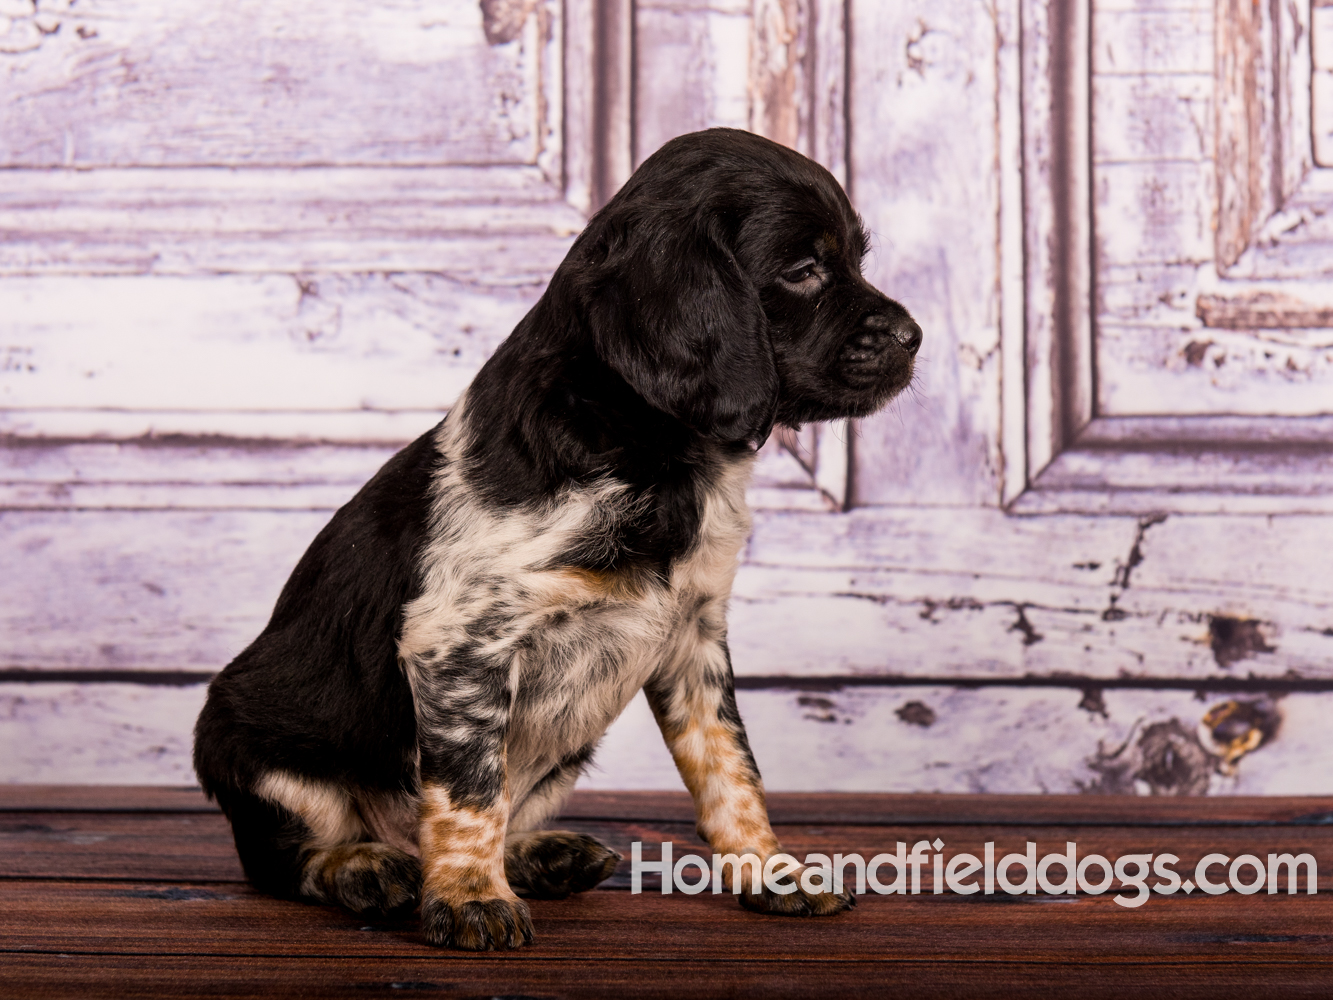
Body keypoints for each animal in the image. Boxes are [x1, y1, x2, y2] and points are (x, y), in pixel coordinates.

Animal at [193, 129, 922, 949]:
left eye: (853, 259)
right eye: (803, 270)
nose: (915, 338)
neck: (659, 456)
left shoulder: (694, 639)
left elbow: (731, 767)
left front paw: (771, 872)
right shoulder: (460, 646)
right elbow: (469, 788)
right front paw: (471, 898)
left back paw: (538, 855)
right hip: (248, 745)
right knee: (288, 857)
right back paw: (368, 866)